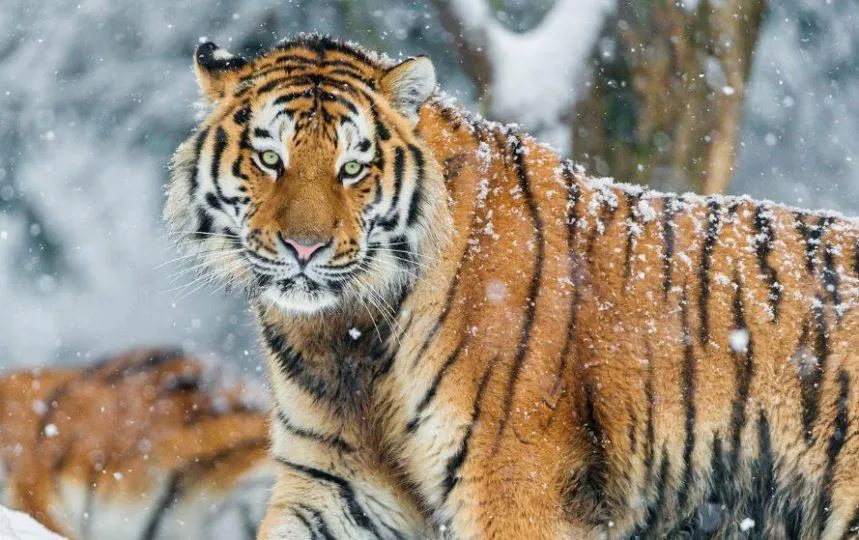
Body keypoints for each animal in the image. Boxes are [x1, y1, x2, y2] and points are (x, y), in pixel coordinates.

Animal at [165, 33, 859, 539]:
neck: (347, 337)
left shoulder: (515, 482)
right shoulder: (333, 483)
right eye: (269, 159)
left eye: (353, 168)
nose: (303, 249)